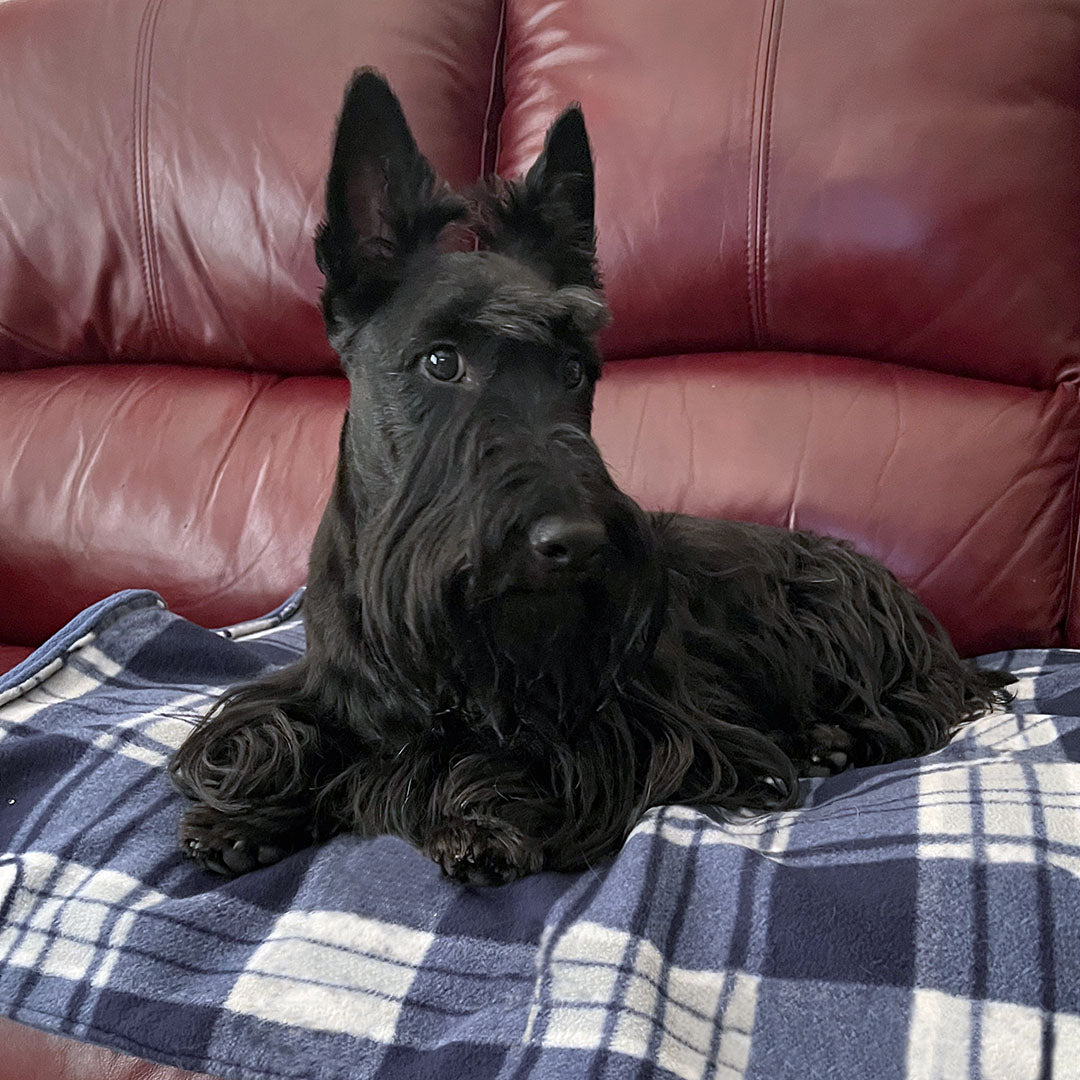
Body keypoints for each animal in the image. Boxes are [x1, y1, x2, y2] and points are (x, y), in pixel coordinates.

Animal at [170, 69, 1010, 885]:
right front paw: (246, 817)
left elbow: (499, 759)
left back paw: (831, 737)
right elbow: (279, 731)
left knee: (914, 702)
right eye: (441, 360)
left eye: (575, 368)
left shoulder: (619, 723)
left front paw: (479, 818)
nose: (576, 541)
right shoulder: (324, 691)